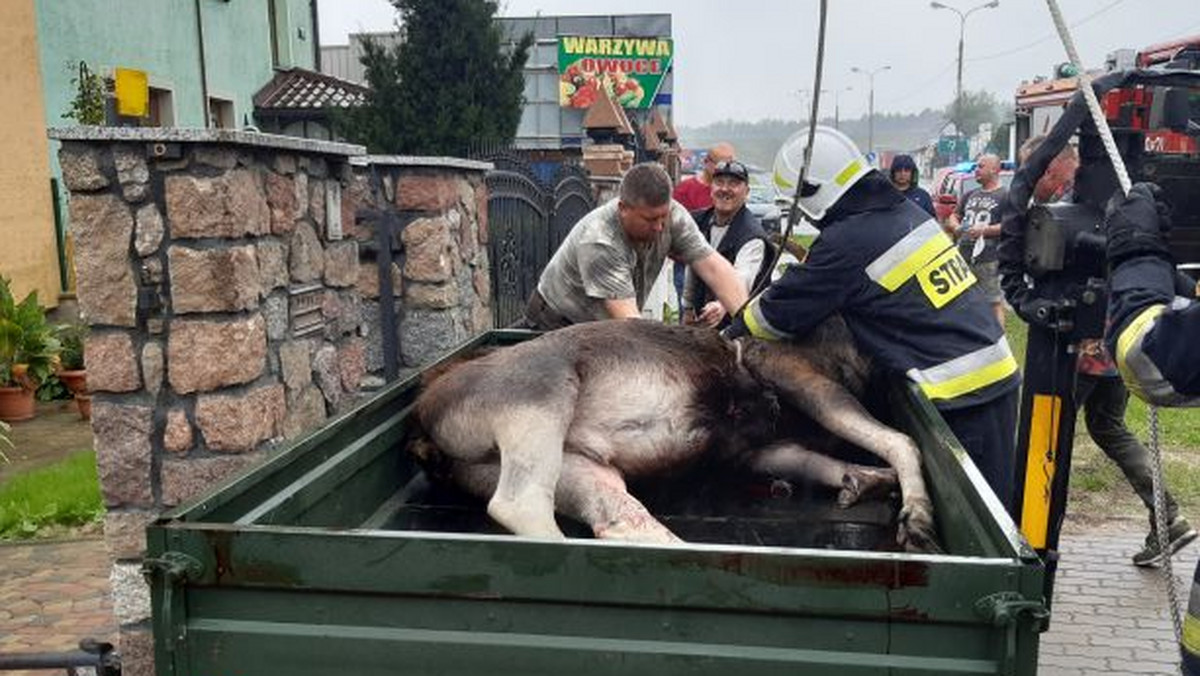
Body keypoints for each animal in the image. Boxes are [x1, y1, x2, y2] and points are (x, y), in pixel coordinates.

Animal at [410, 316, 936, 549]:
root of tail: (425, 420)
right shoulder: (808, 385)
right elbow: (901, 441)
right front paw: (918, 517)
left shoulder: (755, 452)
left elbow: (822, 462)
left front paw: (866, 481)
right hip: (544, 393)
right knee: (518, 504)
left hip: (571, 468)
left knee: (621, 520)